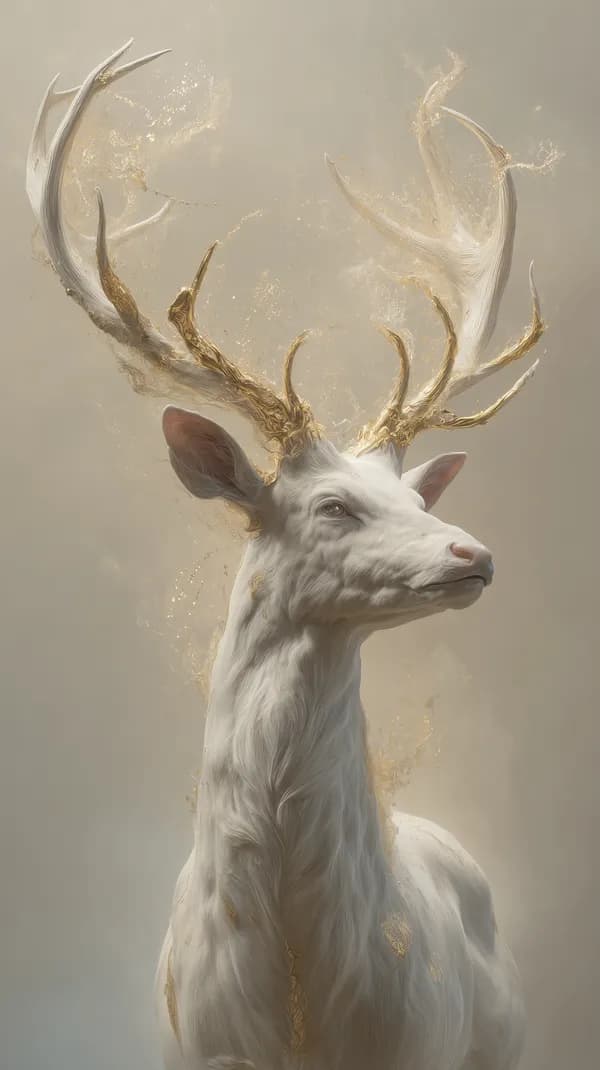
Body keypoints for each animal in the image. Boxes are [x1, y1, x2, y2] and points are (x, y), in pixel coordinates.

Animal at [27, 41, 545, 1070]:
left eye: (412, 498)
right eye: (334, 506)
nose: (474, 551)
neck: (300, 991)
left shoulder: (420, 1046)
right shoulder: (194, 1048)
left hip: (501, 1038)